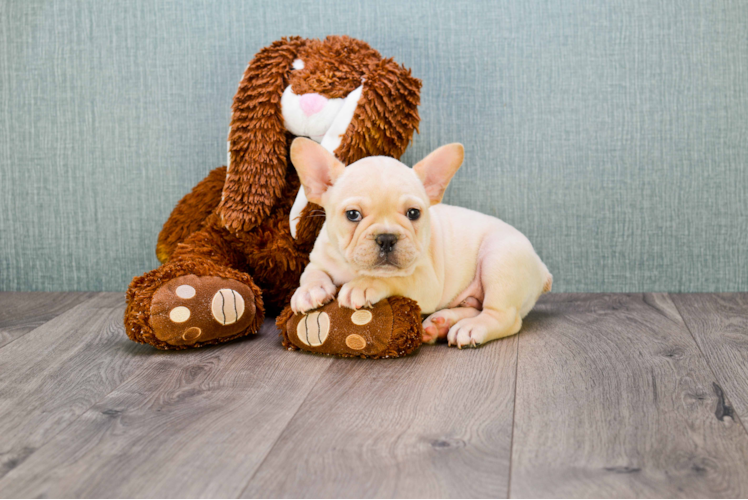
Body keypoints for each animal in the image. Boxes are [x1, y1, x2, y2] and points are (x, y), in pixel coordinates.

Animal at [290, 137, 552, 348]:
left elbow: (395, 278)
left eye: (413, 213)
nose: (386, 238)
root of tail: (542, 269)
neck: (354, 268)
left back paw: (471, 328)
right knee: (474, 306)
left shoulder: (426, 282)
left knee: (503, 317)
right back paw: (440, 324)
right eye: (352, 215)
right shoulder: (319, 259)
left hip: (498, 261)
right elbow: (311, 273)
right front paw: (309, 291)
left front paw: (363, 286)